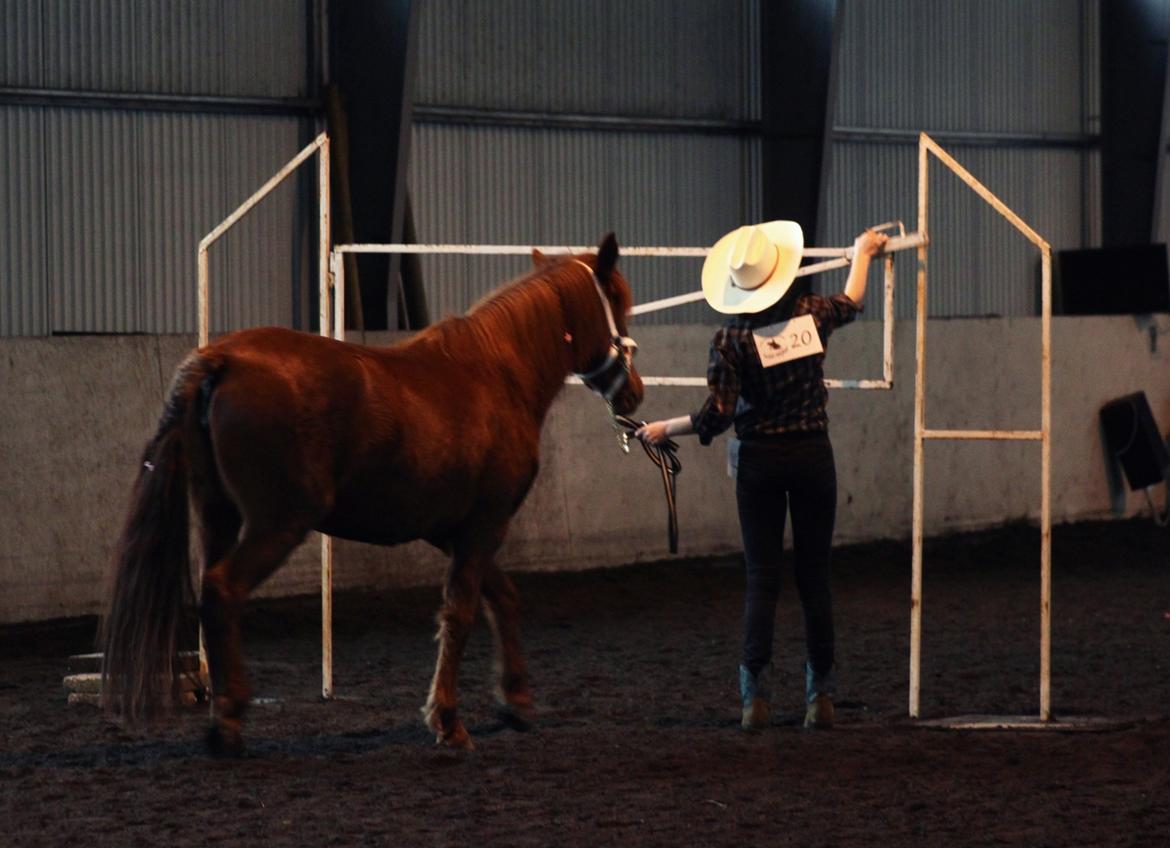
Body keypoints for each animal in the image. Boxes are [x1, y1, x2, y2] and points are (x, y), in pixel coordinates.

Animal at [100, 232, 645, 753]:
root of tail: (220, 358)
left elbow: (502, 598)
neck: (497, 375)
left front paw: (516, 700)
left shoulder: (452, 530)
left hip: (219, 515)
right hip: (278, 524)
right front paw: (448, 722)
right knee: (223, 589)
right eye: (620, 302)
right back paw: (229, 723)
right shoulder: (484, 524)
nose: (634, 392)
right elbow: (461, 612)